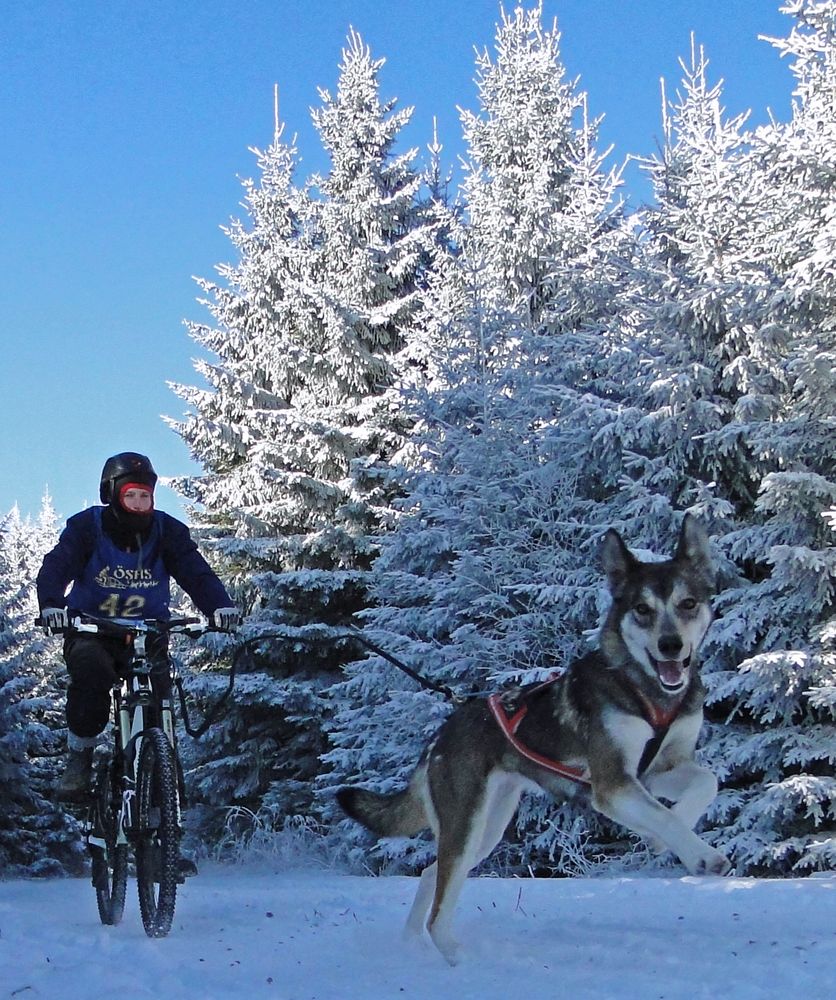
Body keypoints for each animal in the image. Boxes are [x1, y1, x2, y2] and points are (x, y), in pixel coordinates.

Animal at [340, 516, 732, 960]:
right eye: (642, 609)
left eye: (688, 603)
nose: (671, 646)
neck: (645, 690)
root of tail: (440, 735)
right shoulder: (613, 782)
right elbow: (663, 814)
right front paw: (700, 854)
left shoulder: (657, 769)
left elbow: (703, 786)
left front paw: (667, 838)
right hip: (467, 824)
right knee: (438, 913)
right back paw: (460, 960)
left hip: (486, 829)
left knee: (429, 876)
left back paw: (411, 943)